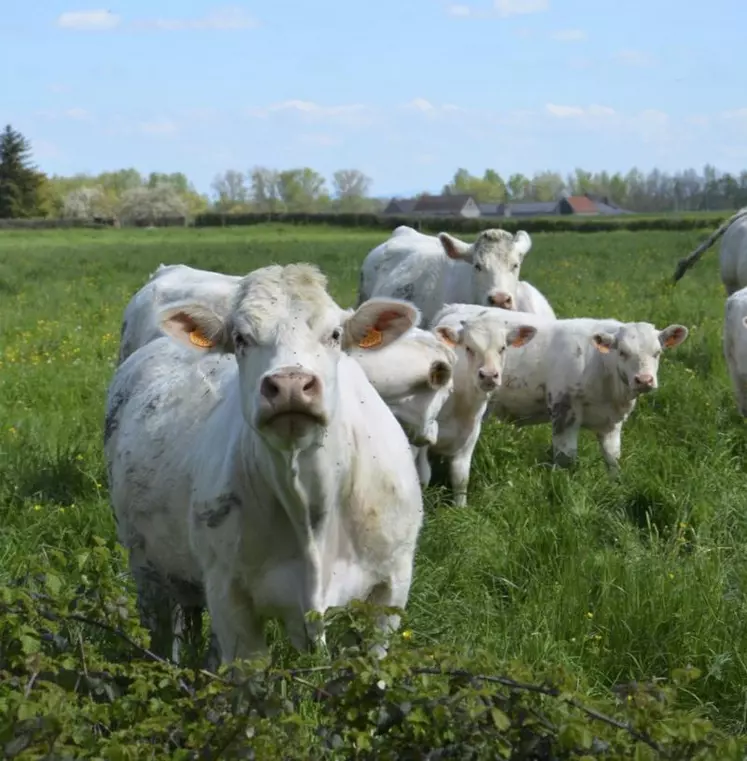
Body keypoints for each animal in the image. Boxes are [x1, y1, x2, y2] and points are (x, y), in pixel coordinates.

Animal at [414, 302, 536, 504]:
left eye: (503, 348)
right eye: (469, 348)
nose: (488, 375)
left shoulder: (470, 435)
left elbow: (461, 477)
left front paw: (460, 507)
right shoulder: (422, 436)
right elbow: (424, 476)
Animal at [450, 302, 688, 470]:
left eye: (657, 353)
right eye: (622, 352)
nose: (644, 380)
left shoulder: (612, 422)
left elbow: (612, 458)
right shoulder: (564, 411)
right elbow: (566, 458)